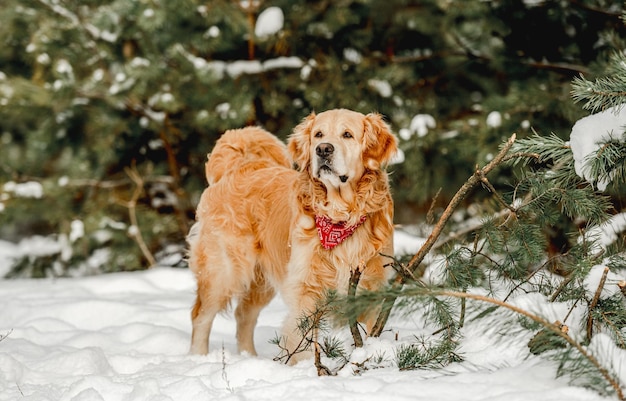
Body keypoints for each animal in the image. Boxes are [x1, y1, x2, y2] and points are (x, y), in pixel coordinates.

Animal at [188, 108, 398, 362]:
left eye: (347, 134)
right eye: (318, 134)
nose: (323, 149)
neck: (340, 217)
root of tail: (237, 167)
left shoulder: (372, 286)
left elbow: (372, 331)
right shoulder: (305, 288)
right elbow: (304, 341)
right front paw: (306, 368)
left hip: (261, 280)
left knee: (243, 315)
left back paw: (250, 358)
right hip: (224, 271)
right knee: (201, 315)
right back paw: (198, 358)